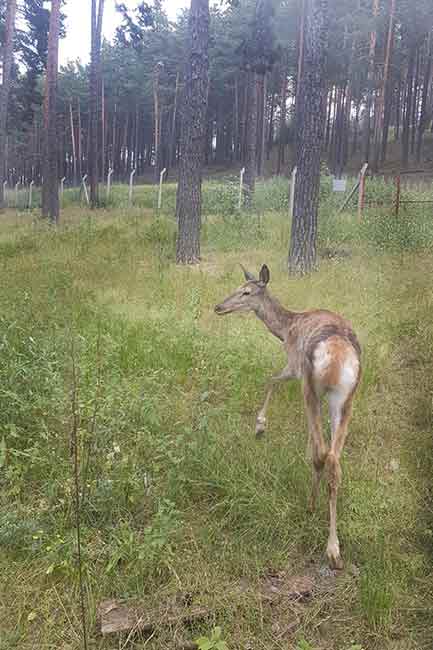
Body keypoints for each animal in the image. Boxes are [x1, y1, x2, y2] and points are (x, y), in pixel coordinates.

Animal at [213, 264, 362, 568]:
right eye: (238, 287)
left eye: (246, 292)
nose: (218, 306)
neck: (285, 329)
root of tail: (337, 354)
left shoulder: (294, 365)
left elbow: (270, 380)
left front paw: (260, 426)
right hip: (345, 397)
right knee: (333, 458)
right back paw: (334, 547)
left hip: (311, 385)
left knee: (322, 452)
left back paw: (312, 507)